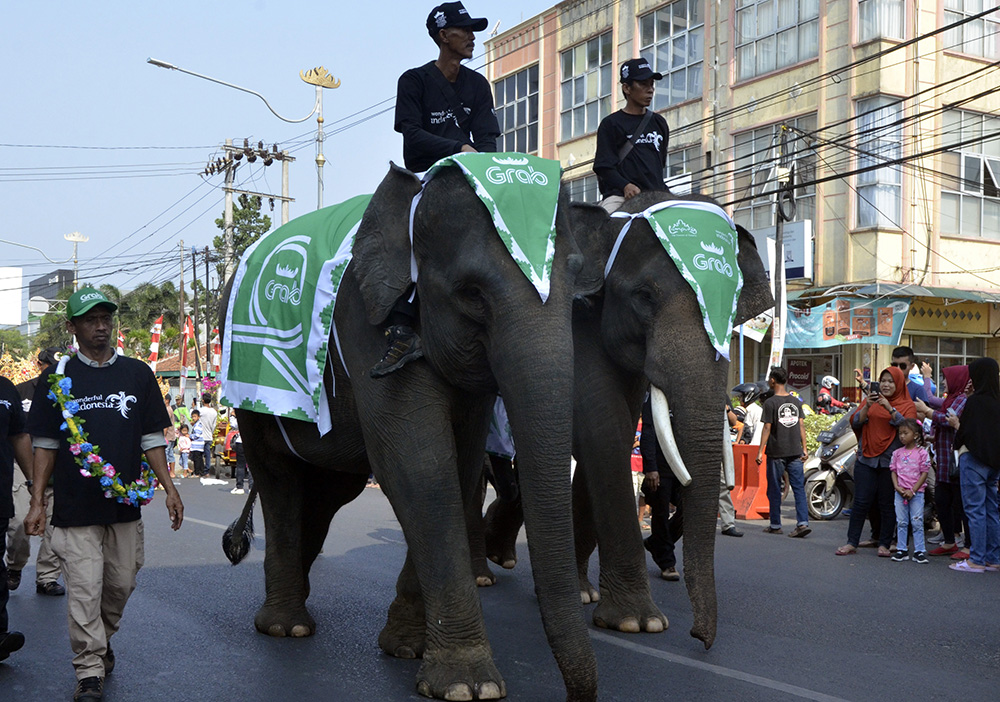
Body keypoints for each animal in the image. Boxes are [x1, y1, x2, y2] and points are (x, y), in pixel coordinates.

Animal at [480, 191, 768, 648]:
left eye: (735, 307)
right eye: (644, 296)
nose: (700, 638)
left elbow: (603, 439)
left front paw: (605, 605)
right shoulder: (579, 321)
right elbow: (605, 428)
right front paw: (638, 622)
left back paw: (539, 572)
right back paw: (486, 569)